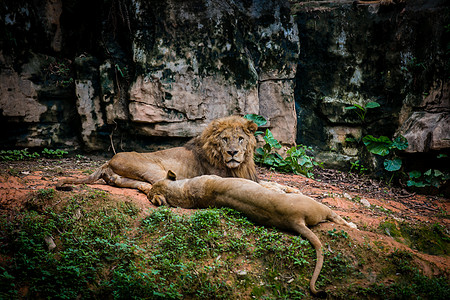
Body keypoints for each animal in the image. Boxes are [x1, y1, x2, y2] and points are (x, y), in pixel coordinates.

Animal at [58, 115, 258, 195]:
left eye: (240, 139)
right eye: (225, 139)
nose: (232, 152)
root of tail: (108, 162)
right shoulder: (226, 176)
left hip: (123, 179)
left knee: (144, 185)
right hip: (152, 167)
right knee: (165, 182)